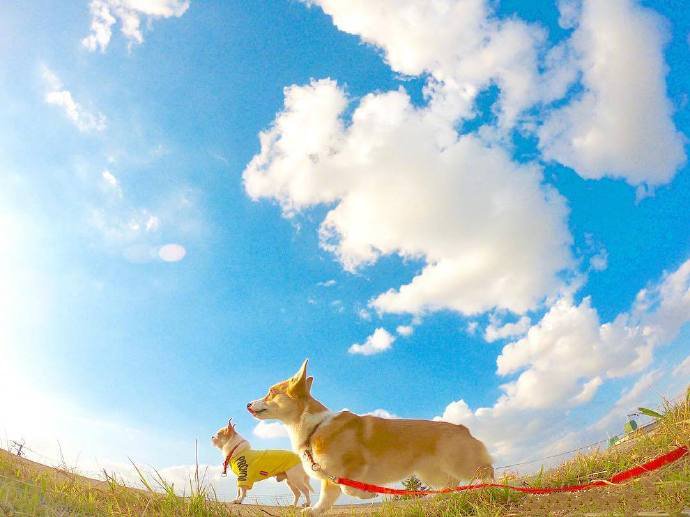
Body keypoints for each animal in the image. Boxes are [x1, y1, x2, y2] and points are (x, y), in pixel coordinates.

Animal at [245, 360, 492, 512]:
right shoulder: (329, 479)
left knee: (485, 471)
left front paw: (369, 496)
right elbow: (325, 500)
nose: (247, 403)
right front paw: (312, 510)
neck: (314, 426)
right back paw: (441, 497)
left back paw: (490, 487)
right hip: (432, 473)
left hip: (461, 463)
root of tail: (463, 428)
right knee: (452, 484)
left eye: (271, 392)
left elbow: (350, 489)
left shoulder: (352, 468)